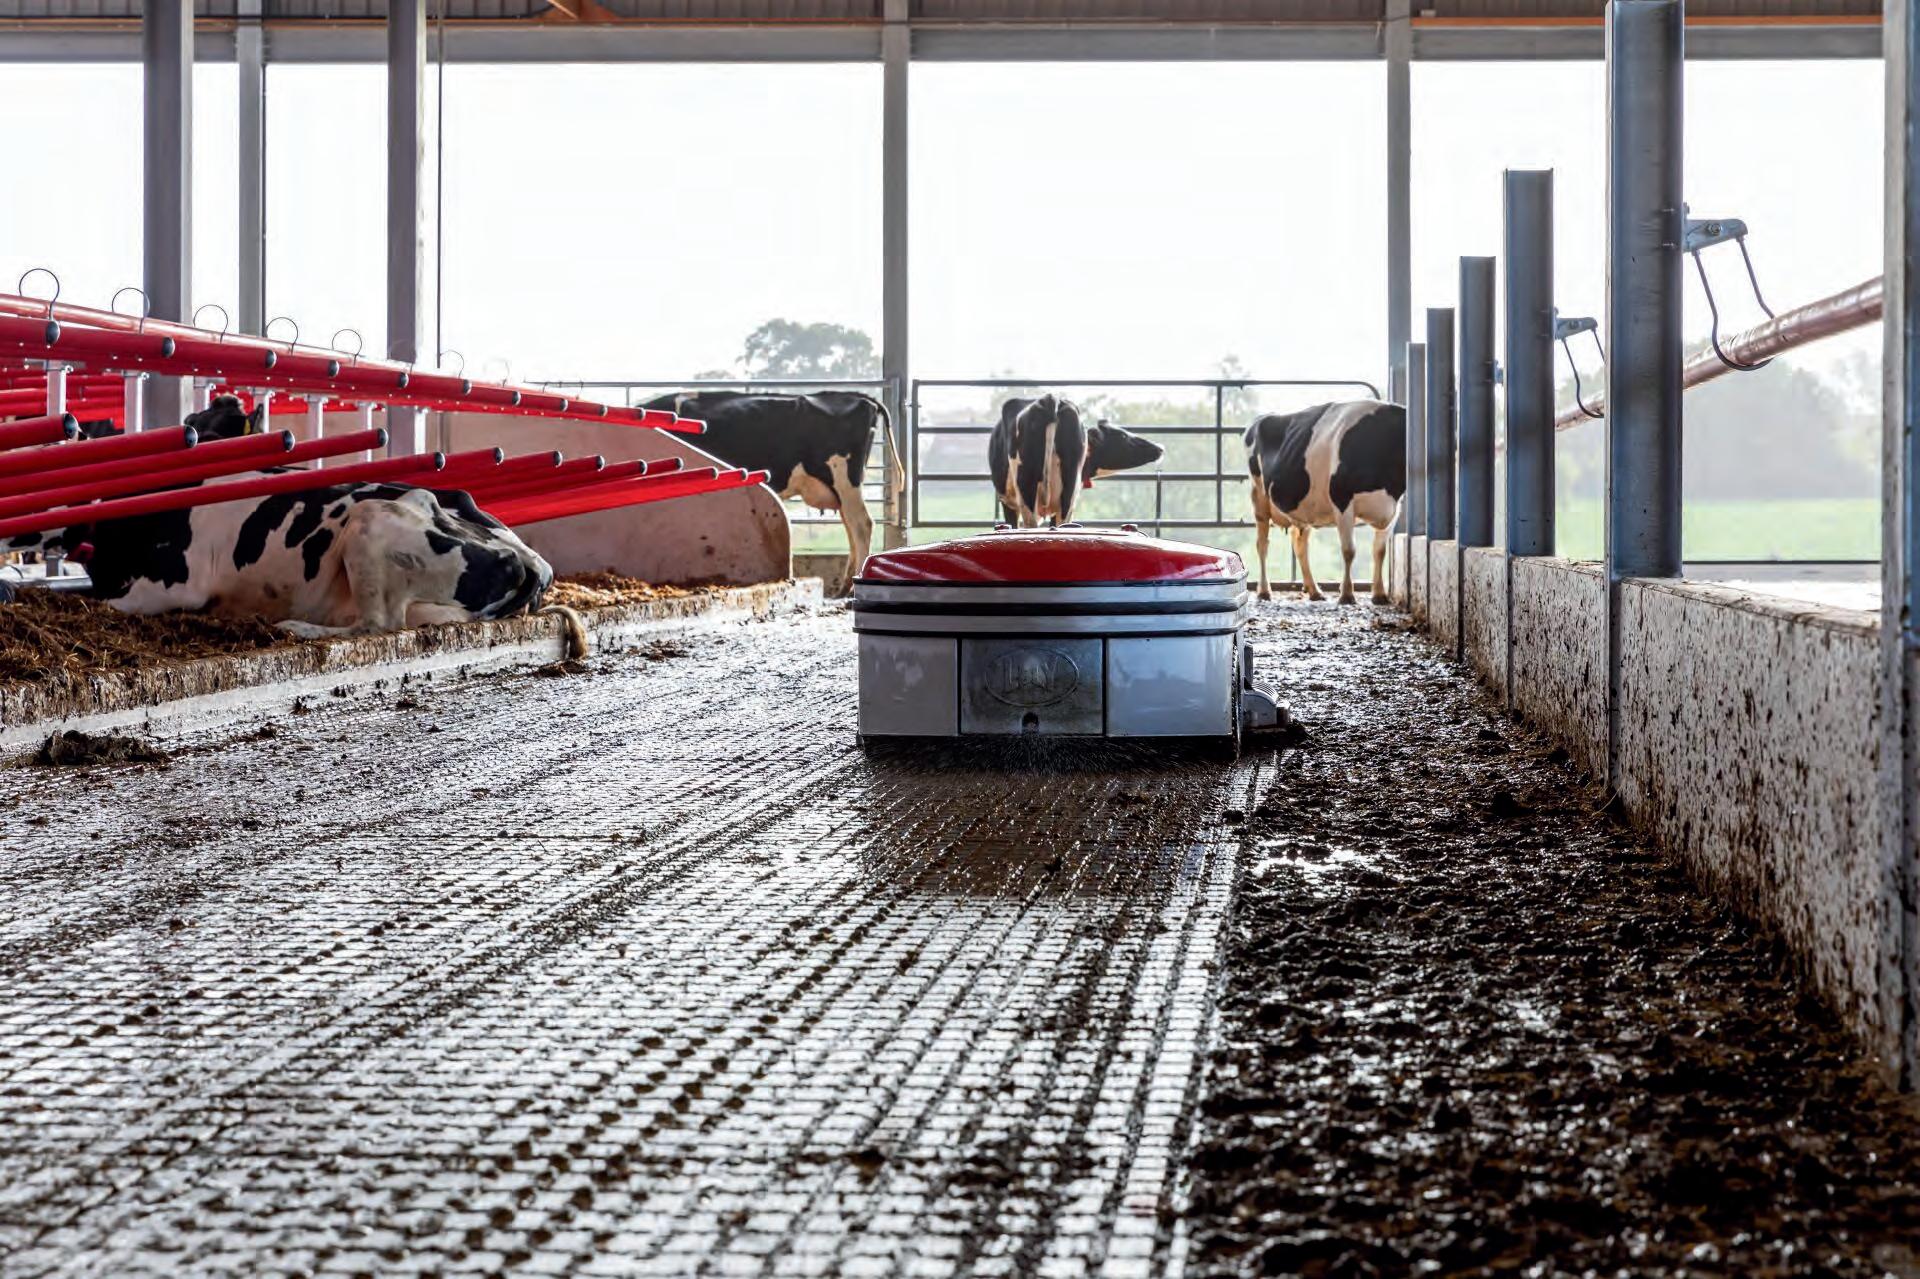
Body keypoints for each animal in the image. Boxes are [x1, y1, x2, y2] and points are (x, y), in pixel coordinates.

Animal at [639, 390, 899, 593]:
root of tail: (857, 397)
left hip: (845, 480)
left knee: (861, 525)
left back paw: (851, 589)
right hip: (842, 490)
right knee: (852, 529)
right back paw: (844, 587)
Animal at [1244, 399, 1406, 605]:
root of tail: (1262, 418)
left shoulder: (1394, 509)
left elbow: (1380, 550)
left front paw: (1379, 594)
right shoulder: (1342, 500)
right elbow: (1349, 550)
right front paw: (1347, 594)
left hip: (1303, 508)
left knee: (1300, 545)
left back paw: (1314, 591)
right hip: (1258, 496)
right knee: (1262, 545)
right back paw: (1264, 591)